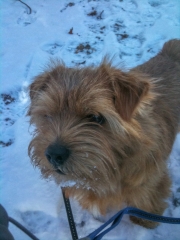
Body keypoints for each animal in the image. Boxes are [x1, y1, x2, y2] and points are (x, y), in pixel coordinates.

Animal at [27, 39, 180, 227]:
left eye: (95, 117)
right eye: (48, 115)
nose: (54, 154)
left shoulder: (151, 184)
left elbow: (147, 202)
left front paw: (144, 222)